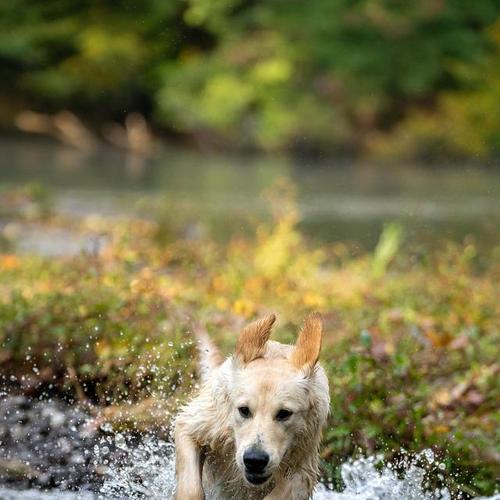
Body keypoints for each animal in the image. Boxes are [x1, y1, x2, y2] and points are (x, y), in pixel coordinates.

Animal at [174, 314, 330, 498]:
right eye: (244, 410)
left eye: (284, 413)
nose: (255, 460)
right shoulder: (198, 425)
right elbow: (191, 489)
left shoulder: (304, 467)